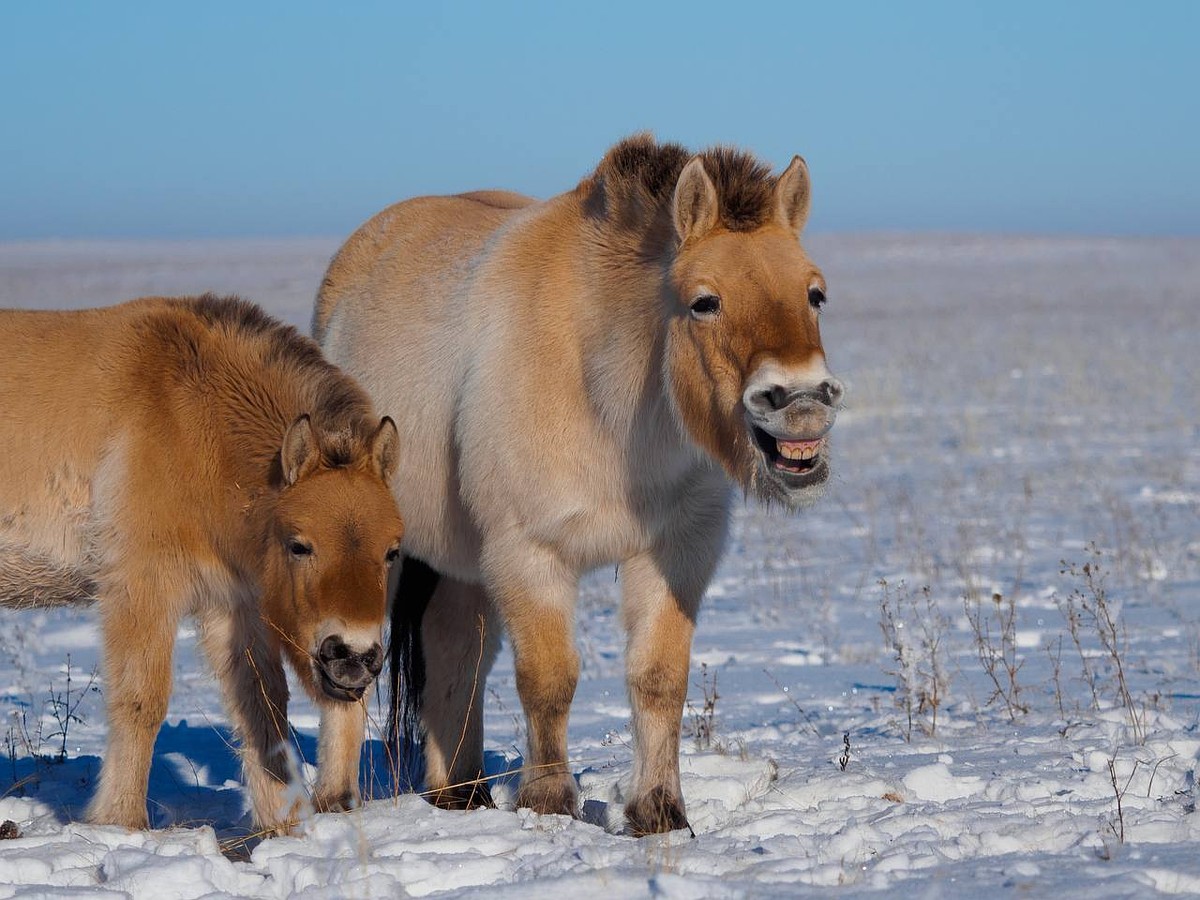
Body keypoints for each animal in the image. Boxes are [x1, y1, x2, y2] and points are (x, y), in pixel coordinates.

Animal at [0, 294, 403, 830]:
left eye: (392, 551)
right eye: (300, 545)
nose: (355, 657)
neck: (191, 416)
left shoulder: (231, 605)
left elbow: (263, 707)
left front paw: (282, 825)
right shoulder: (142, 586)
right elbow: (141, 701)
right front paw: (120, 822)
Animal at [316, 135, 844, 840]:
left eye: (814, 294)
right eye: (704, 301)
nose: (802, 401)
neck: (604, 395)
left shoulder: (675, 553)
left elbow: (658, 679)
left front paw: (659, 811)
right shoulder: (529, 554)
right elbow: (549, 680)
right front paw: (548, 802)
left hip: (462, 565)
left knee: (454, 651)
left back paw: (460, 793)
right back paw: (334, 801)